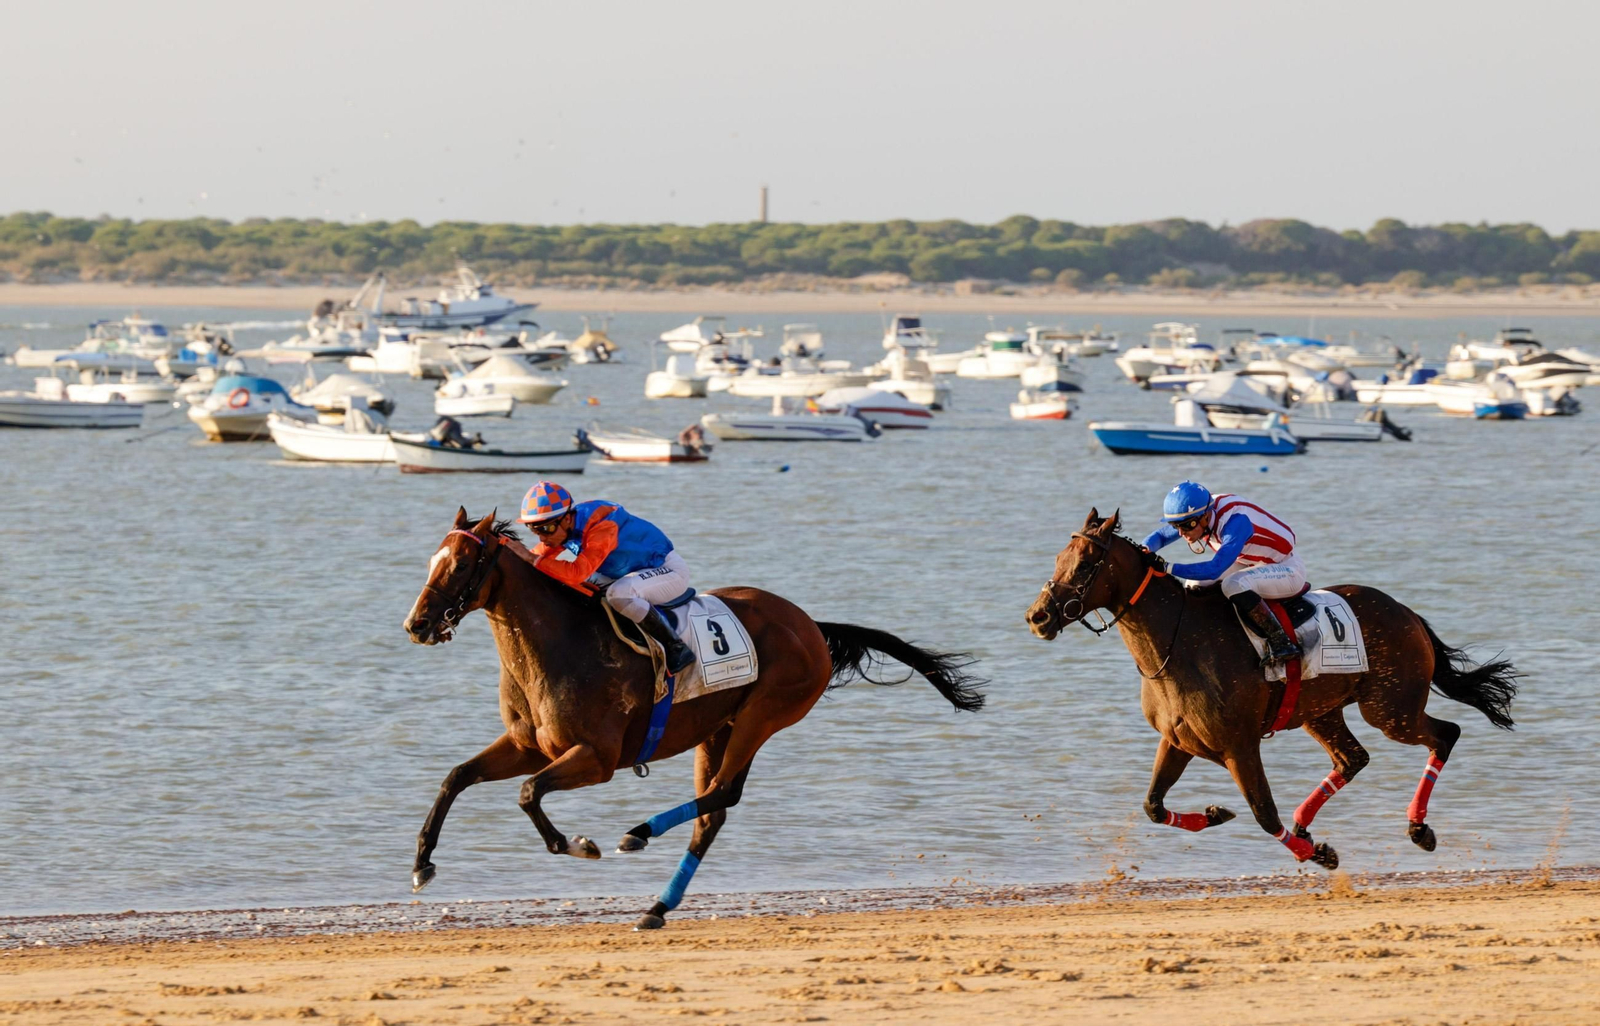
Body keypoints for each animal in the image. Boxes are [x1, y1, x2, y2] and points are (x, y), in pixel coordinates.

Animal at [402, 509, 986, 929]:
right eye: (431, 559)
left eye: (459, 565)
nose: (417, 624)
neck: (559, 644)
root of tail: (811, 626)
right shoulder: (528, 745)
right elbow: (456, 777)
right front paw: (421, 864)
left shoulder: (597, 759)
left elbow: (527, 794)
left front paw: (577, 844)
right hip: (716, 730)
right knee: (714, 813)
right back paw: (656, 907)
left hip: (763, 714)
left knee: (723, 794)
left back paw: (638, 834)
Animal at [1025, 508, 1518, 869]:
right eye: (1058, 559)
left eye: (1086, 564)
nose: (1038, 616)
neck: (1179, 643)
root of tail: (1407, 613)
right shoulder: (1178, 740)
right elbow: (1152, 805)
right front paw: (1215, 814)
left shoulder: (1239, 746)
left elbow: (1263, 814)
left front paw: (1317, 854)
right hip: (1322, 712)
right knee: (1353, 759)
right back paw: (1307, 822)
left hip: (1390, 710)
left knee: (1444, 735)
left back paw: (1417, 828)